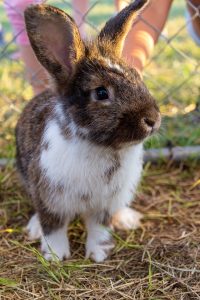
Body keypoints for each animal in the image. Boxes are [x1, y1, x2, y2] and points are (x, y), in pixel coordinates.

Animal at [15, 0, 161, 262]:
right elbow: (53, 228)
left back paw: (126, 218)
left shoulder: (104, 204)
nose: (153, 119)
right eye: (101, 93)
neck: (101, 147)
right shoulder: (50, 199)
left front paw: (99, 253)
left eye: (137, 77)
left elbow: (99, 228)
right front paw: (56, 256)